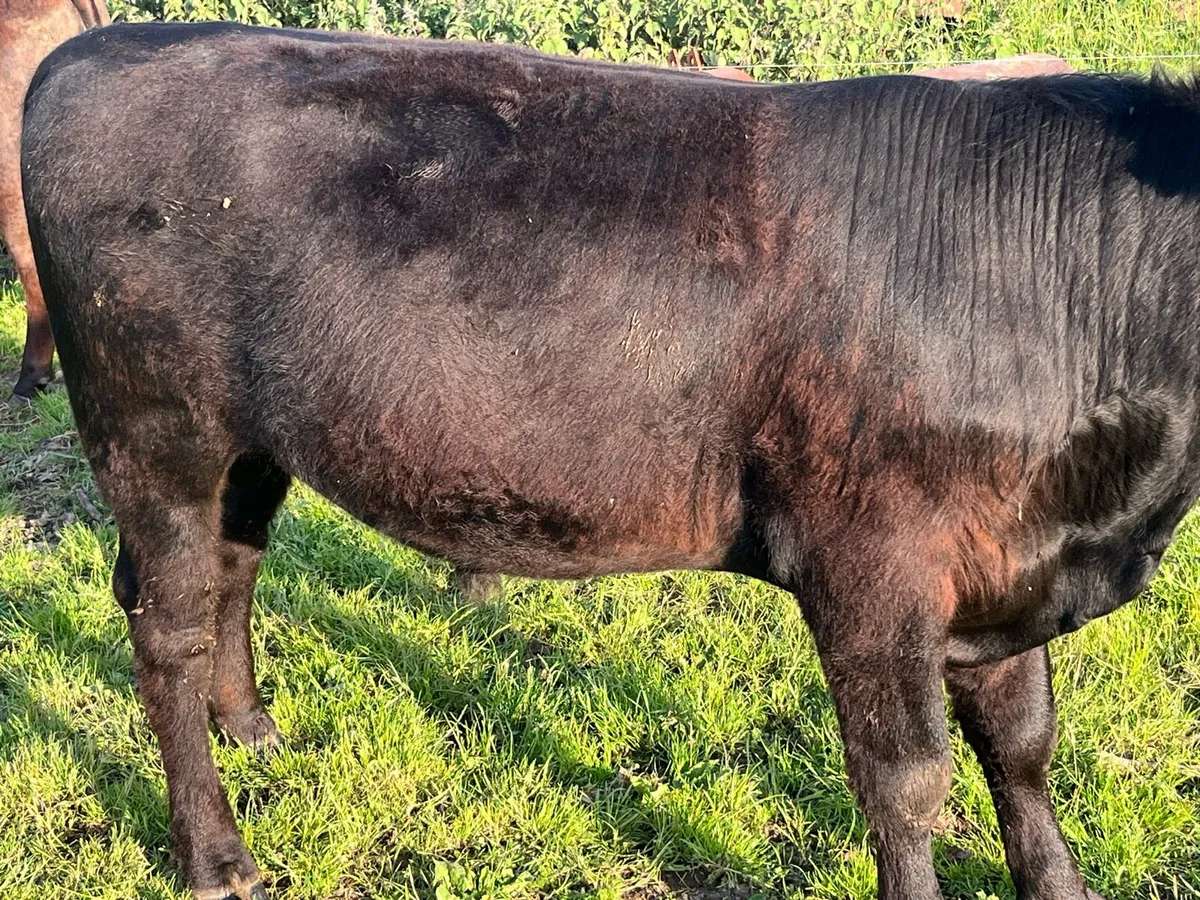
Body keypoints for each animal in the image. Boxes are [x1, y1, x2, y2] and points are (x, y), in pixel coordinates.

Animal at [21, 20, 1200, 900]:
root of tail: (105, 45)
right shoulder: (872, 565)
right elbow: (908, 783)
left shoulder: (1009, 560)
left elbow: (1025, 746)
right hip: (154, 431)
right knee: (166, 630)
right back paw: (216, 854)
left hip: (248, 445)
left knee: (234, 571)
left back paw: (255, 731)